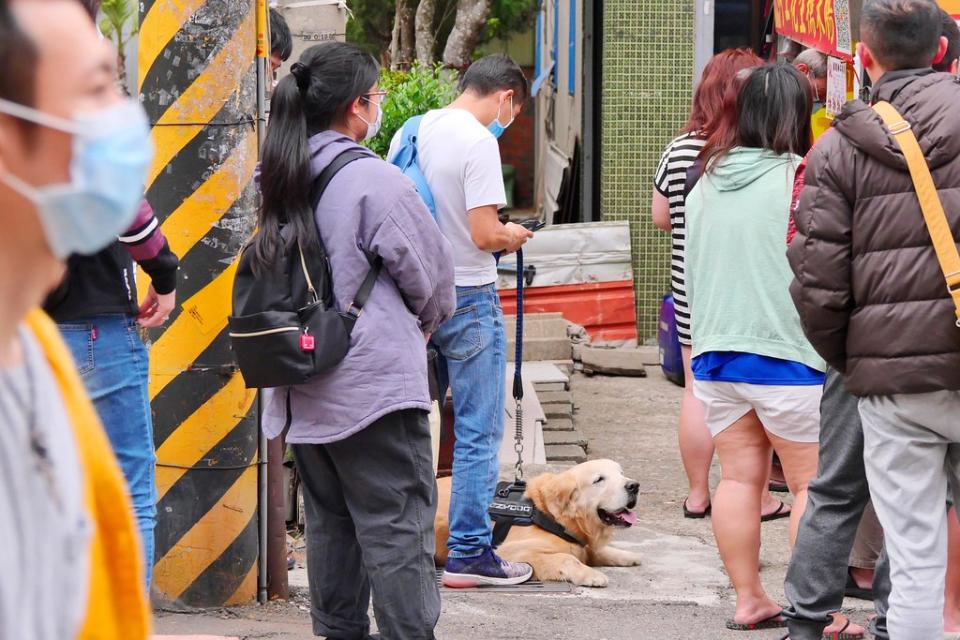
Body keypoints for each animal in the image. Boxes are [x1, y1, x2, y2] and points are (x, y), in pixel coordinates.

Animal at [438, 458, 640, 588]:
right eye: (599, 479)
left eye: (621, 474)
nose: (634, 486)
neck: (551, 515)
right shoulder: (510, 552)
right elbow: (567, 557)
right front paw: (592, 575)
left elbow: (593, 550)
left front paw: (627, 555)